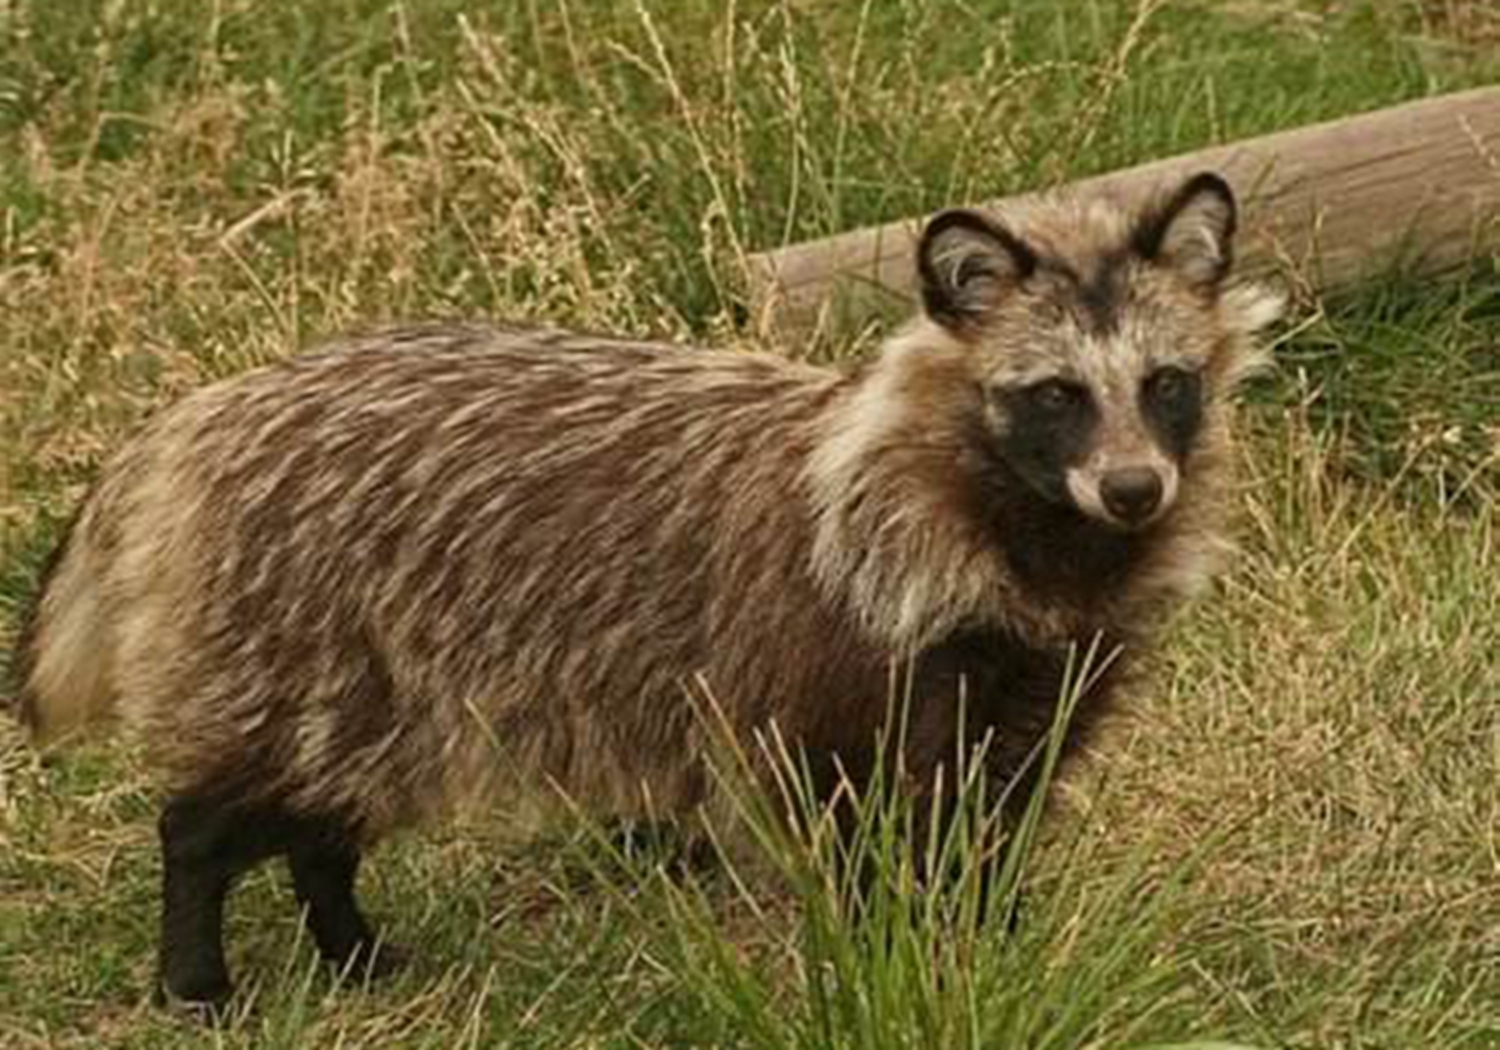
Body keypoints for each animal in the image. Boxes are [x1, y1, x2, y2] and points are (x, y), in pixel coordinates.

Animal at [11, 172, 1278, 1008]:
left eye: (1165, 384)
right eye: (1056, 393)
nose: (1135, 490)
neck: (1033, 539)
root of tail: (197, 414)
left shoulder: (1033, 671)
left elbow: (996, 811)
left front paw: (992, 935)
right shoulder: (831, 652)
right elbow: (852, 828)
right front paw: (891, 958)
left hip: (375, 661)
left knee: (333, 802)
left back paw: (350, 941)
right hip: (296, 619)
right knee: (231, 802)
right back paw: (196, 956)